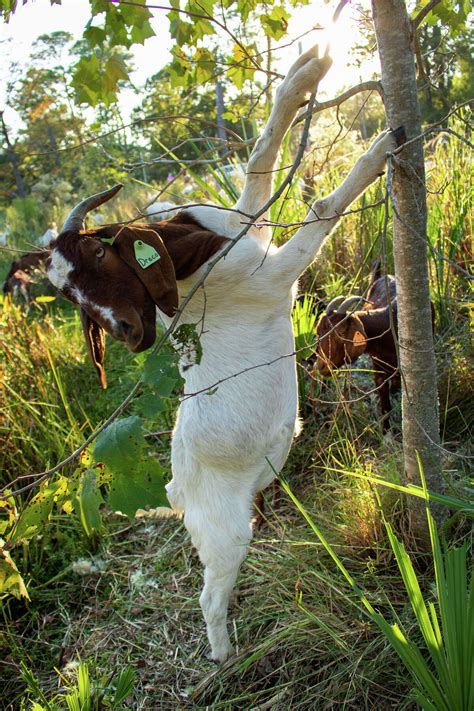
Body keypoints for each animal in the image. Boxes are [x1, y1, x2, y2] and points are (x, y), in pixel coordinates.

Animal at [46, 47, 400, 664]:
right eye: (70, 298)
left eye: (98, 251)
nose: (128, 332)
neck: (195, 271)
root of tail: (176, 487)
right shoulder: (275, 274)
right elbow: (321, 209)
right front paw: (379, 151)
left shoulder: (239, 224)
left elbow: (259, 161)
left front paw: (306, 72)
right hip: (224, 534)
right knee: (210, 596)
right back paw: (224, 657)